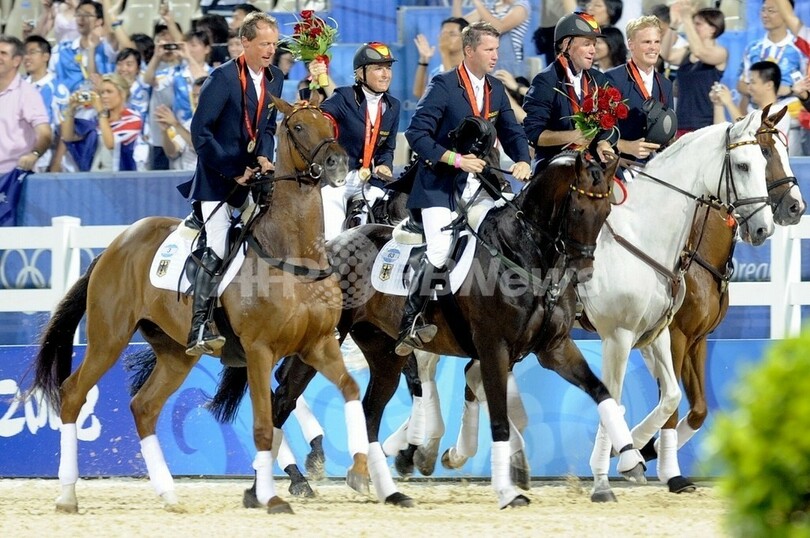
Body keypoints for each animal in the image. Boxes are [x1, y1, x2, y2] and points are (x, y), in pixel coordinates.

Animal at [28, 96, 369, 515]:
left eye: (330, 124)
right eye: (299, 127)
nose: (338, 163)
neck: (295, 255)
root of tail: (114, 245)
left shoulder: (318, 344)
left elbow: (350, 390)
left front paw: (360, 472)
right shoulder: (259, 351)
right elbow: (263, 424)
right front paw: (270, 496)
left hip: (176, 352)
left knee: (144, 407)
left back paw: (169, 493)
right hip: (108, 339)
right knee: (74, 393)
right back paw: (67, 494)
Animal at [211, 150, 652, 509]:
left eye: (606, 214)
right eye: (577, 210)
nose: (585, 273)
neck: (523, 254)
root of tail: (326, 247)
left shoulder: (555, 348)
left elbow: (601, 392)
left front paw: (629, 457)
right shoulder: (494, 347)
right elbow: (498, 418)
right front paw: (506, 491)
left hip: (384, 353)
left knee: (368, 412)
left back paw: (381, 487)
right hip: (320, 345)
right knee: (283, 399)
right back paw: (271, 484)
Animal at [580, 108, 777, 503]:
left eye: (767, 160)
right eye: (745, 165)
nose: (766, 227)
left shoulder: (673, 337)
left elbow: (680, 401)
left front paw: (639, 449)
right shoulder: (627, 337)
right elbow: (618, 397)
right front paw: (630, 462)